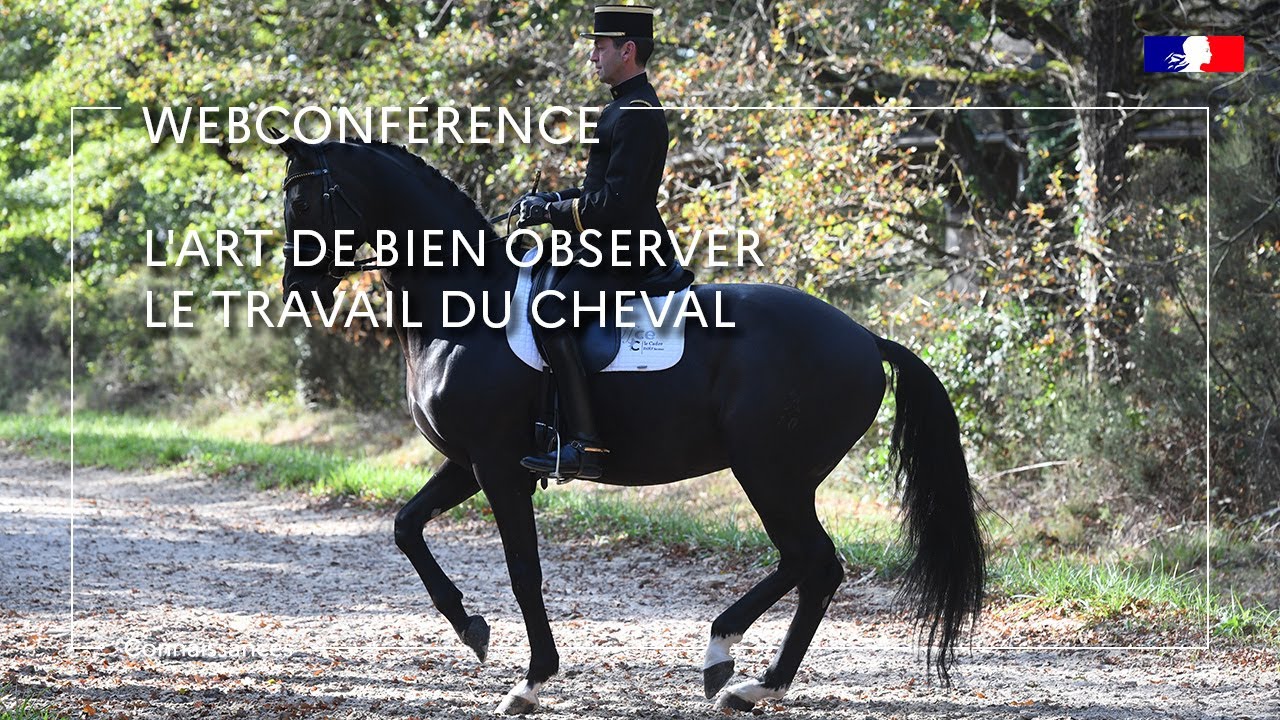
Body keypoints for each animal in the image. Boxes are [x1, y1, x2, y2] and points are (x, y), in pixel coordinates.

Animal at [271, 135, 985, 714]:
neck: (467, 305)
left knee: (813, 560)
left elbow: (523, 570)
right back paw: (742, 674)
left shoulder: (499, 467)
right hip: (782, 477)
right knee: (809, 565)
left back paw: (738, 670)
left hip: (769, 472)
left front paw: (531, 681)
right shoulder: (469, 463)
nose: (296, 291)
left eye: (303, 204)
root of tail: (865, 338)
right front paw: (471, 628)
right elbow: (406, 527)